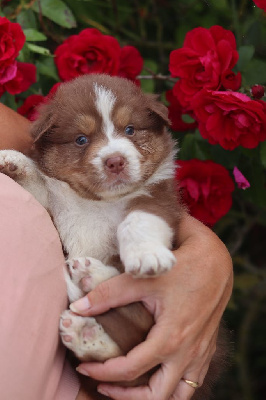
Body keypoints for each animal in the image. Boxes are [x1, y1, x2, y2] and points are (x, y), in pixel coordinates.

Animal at [0, 74, 227, 396]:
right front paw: (13, 161)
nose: (115, 160)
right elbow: (39, 187)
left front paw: (147, 257)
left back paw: (92, 280)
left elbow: (136, 220)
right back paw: (86, 331)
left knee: (136, 350)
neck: (97, 203)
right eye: (81, 139)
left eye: (130, 129)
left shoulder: (159, 200)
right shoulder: (56, 209)